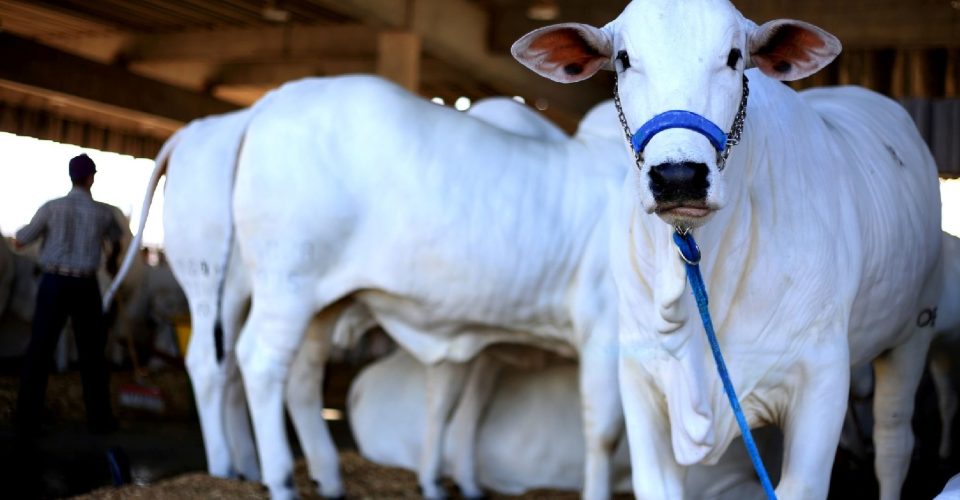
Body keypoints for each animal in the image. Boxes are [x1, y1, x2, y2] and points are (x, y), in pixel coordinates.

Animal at [229, 75, 628, 500]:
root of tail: (277, 98)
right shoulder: (606, 328)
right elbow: (605, 432)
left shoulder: (490, 347)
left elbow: (463, 408)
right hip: (285, 284)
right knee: (260, 363)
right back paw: (281, 481)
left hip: (323, 302)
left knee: (303, 378)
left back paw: (330, 478)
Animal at [512, 1, 940, 498]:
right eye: (623, 58)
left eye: (735, 56)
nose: (678, 176)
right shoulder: (640, 383)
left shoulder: (820, 380)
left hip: (913, 333)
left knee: (893, 442)